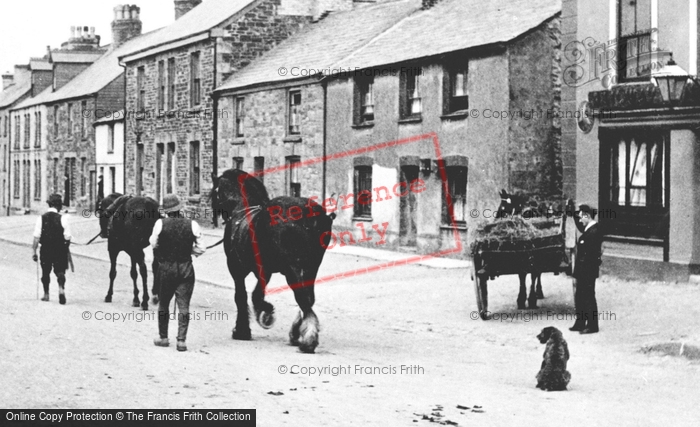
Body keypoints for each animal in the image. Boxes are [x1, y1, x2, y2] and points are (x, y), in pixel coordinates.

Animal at [211, 169, 336, 352]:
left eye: (214, 192)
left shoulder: (237, 268)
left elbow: (244, 296)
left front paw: (245, 327)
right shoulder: (265, 270)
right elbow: (255, 294)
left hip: (293, 267)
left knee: (302, 298)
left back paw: (307, 339)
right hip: (311, 266)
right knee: (308, 298)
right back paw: (298, 333)